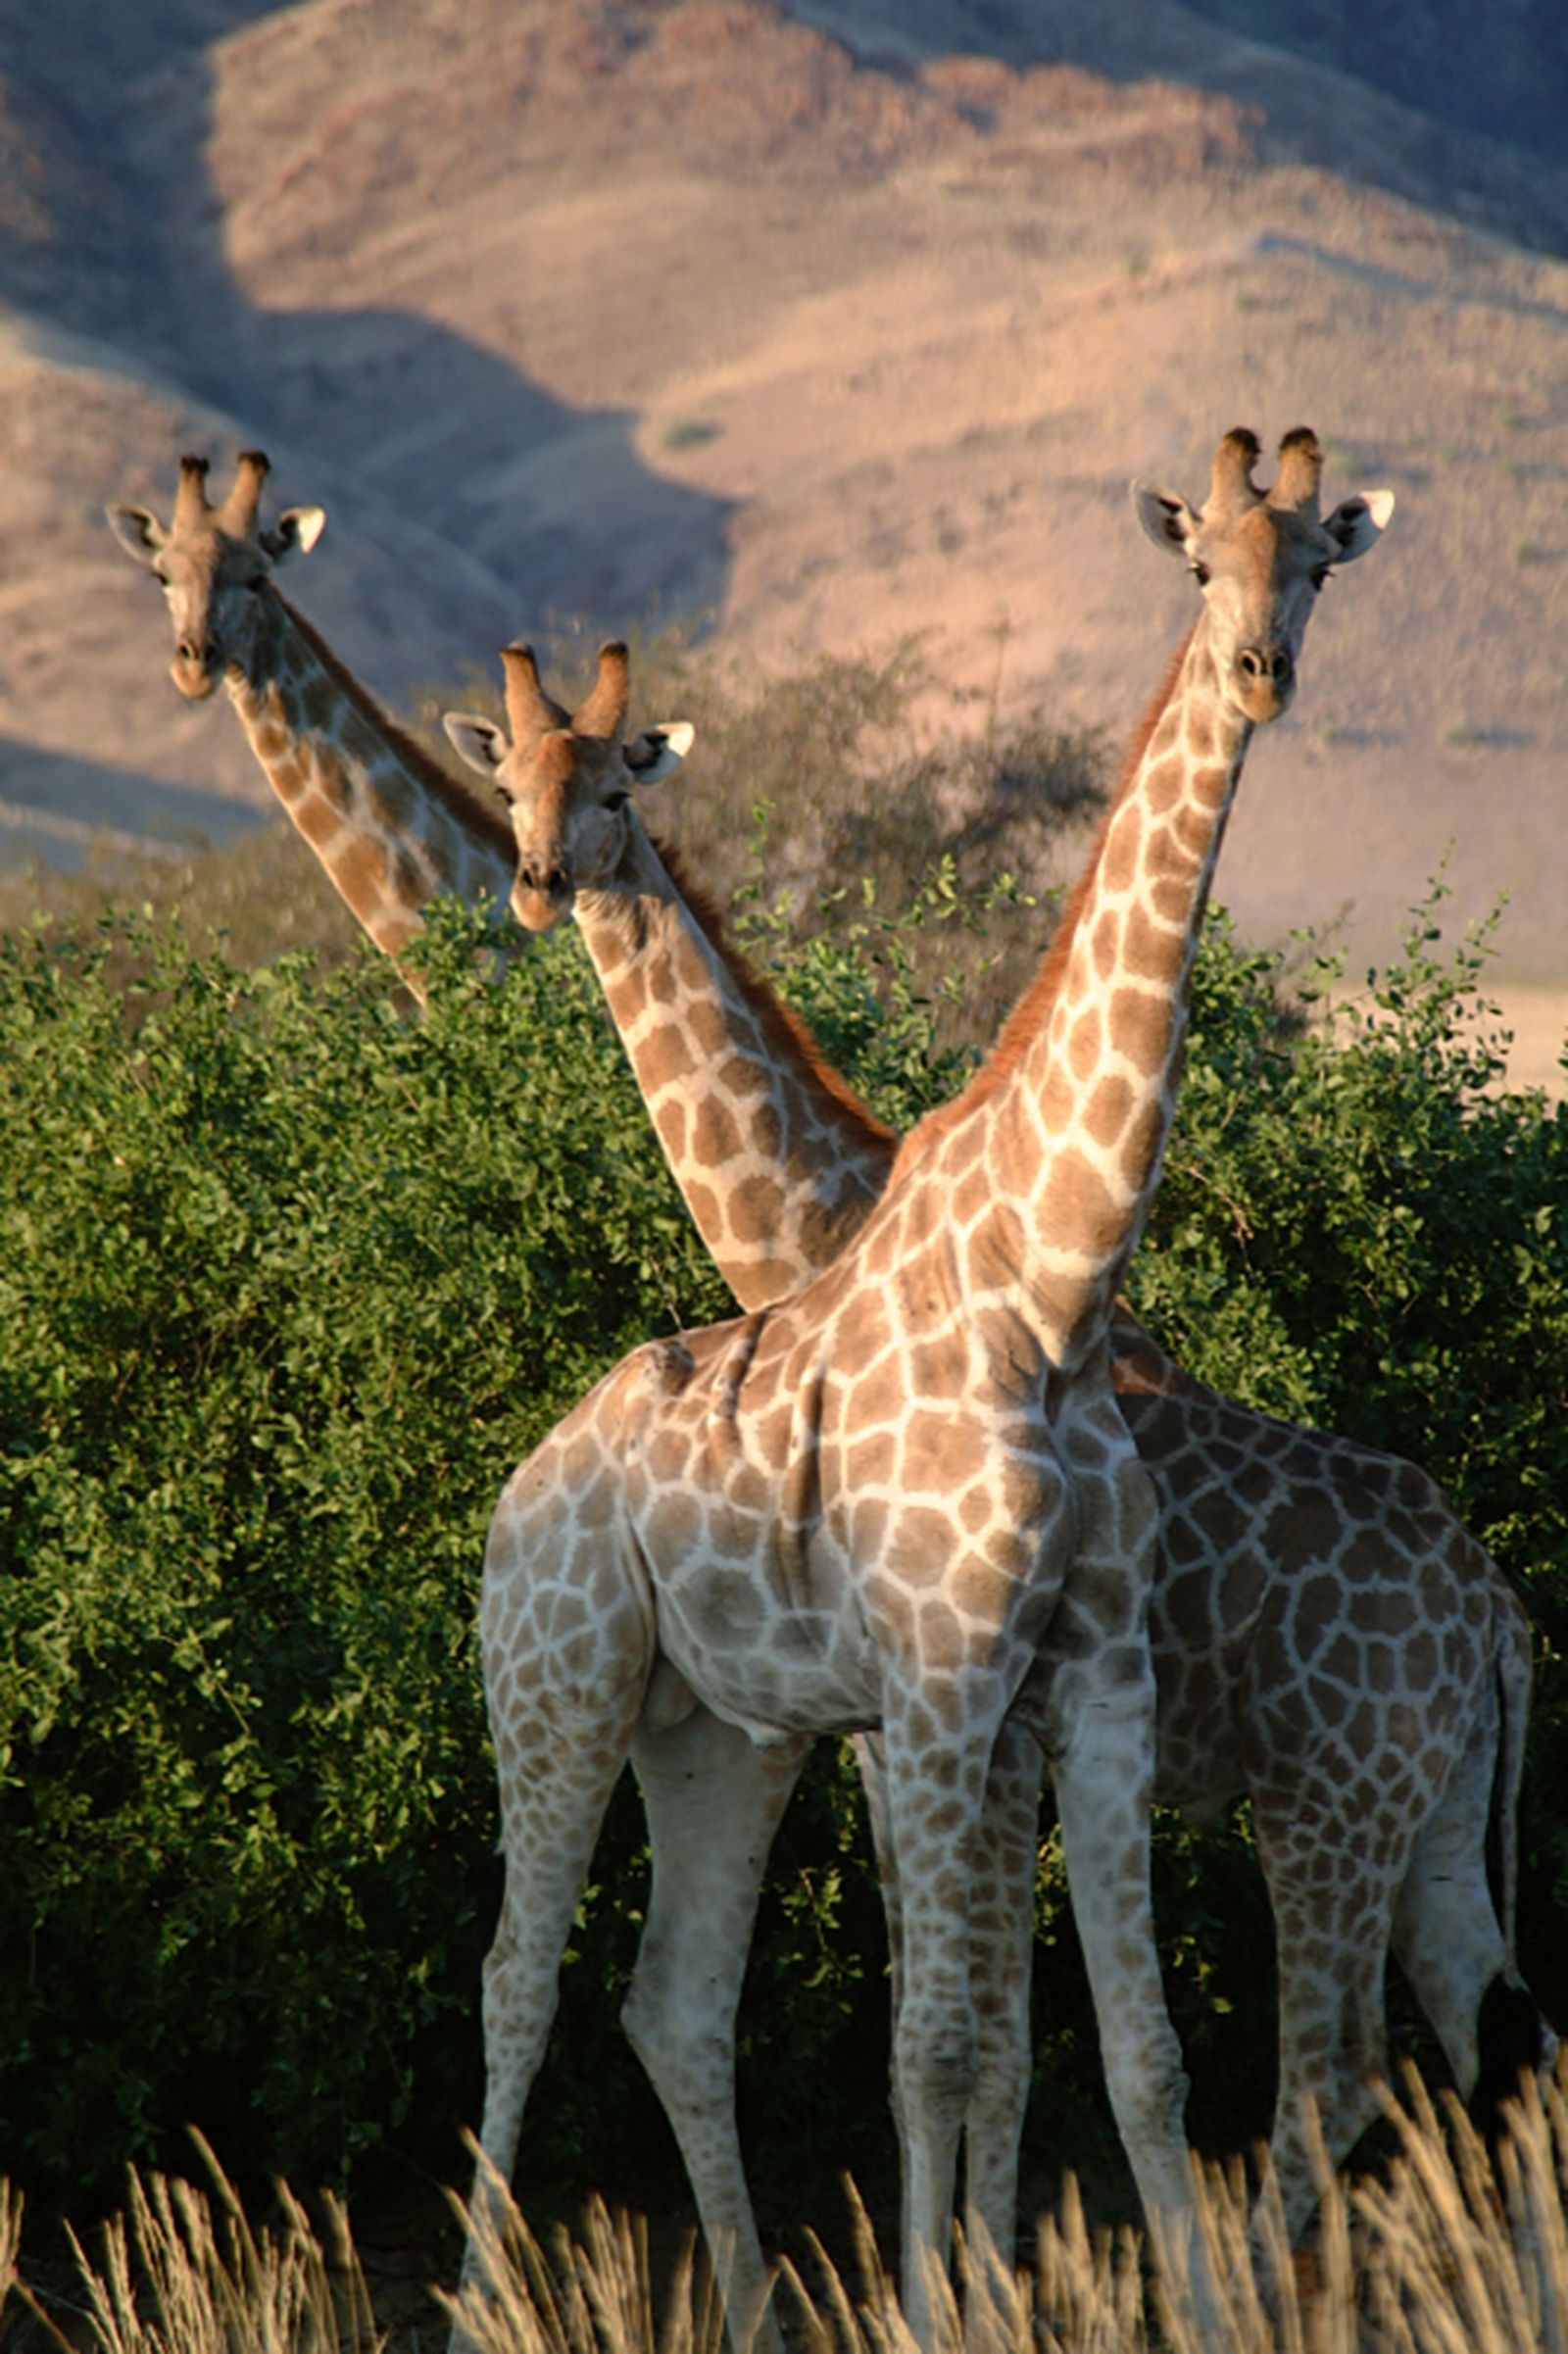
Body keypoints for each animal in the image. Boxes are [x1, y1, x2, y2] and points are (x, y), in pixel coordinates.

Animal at [447, 426, 1400, 2343]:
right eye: (1202, 564)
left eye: (1320, 563)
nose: (1262, 672)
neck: (1049, 1281)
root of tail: (524, 1474)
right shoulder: (939, 1695)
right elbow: (953, 2040)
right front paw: (944, 2303)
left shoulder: (1083, 1684)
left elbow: (1132, 2053)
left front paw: (1149, 2306)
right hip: (558, 1683)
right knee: (520, 1975)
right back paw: (478, 2307)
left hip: (720, 1734)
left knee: (673, 1994)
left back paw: (749, 2305)